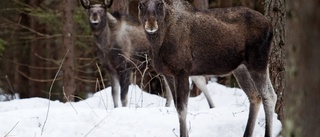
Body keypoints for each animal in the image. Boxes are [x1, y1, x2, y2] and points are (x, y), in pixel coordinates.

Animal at [80, 0, 215, 108]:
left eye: (102, 11)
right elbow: (114, 95)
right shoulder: (110, 69)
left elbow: (123, 97)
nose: (94, 18)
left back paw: (211, 106)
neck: (106, 45)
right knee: (170, 90)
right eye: (89, 11)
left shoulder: (126, 67)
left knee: (201, 82)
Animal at [139, 0, 276, 137]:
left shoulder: (182, 71)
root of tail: (270, 25)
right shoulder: (168, 74)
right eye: (141, 4)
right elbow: (177, 106)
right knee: (255, 96)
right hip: (241, 68)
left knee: (269, 96)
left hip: (258, 62)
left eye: (160, 3)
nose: (151, 23)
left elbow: (182, 110)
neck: (158, 45)